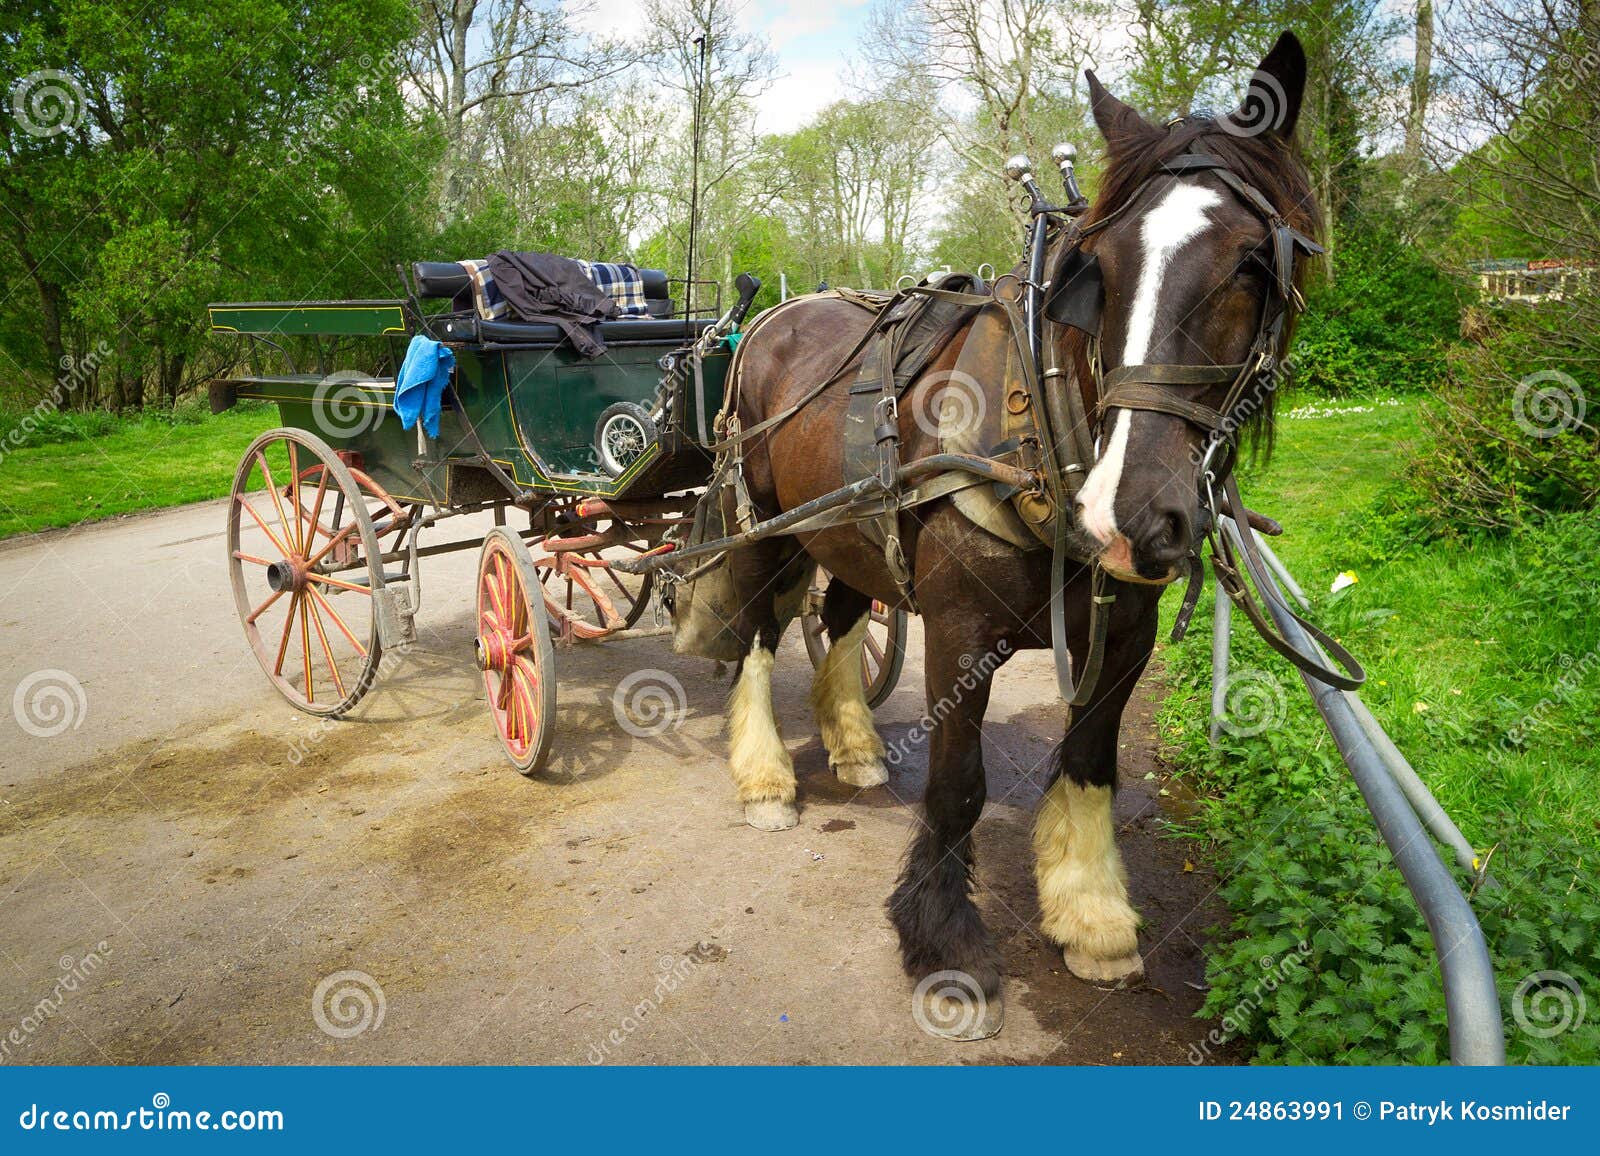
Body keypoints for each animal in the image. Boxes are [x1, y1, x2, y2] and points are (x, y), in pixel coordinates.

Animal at [714, 33, 1319, 1035]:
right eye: (1098, 266)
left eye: (1250, 265)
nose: (1128, 513)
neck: (1040, 428)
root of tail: (773, 315)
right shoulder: (960, 632)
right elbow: (959, 782)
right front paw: (945, 937)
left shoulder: (1126, 631)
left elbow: (1088, 762)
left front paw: (1093, 912)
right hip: (765, 524)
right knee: (761, 635)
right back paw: (764, 778)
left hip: (851, 528)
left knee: (839, 618)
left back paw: (853, 745)